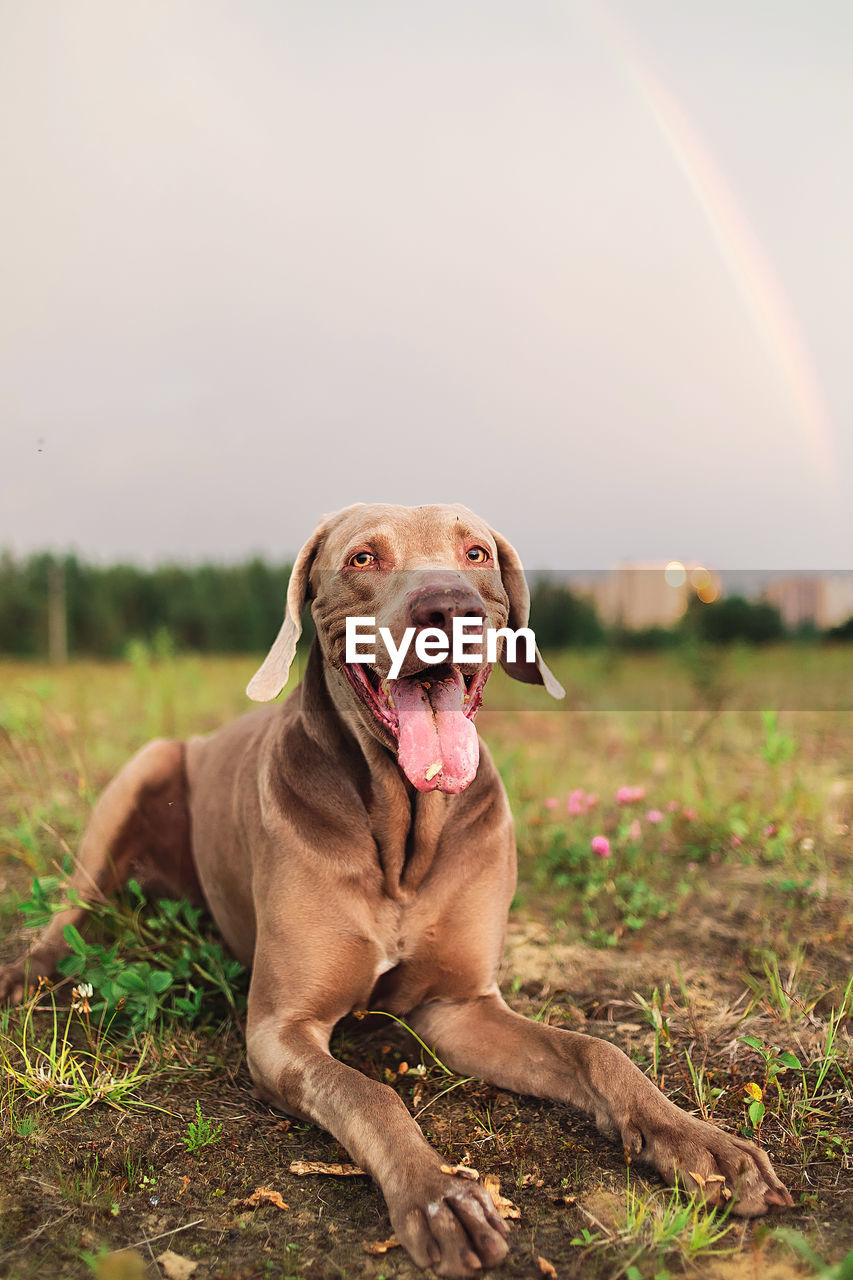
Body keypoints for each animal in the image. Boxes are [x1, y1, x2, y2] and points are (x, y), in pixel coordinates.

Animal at [0, 504, 788, 1274]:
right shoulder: (279, 1030)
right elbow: (369, 1093)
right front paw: (441, 1195)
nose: (448, 607)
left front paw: (700, 1143)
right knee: (72, 906)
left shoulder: (460, 1007)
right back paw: (26, 972)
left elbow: (596, 1051)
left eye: (476, 554)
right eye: (362, 558)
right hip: (146, 766)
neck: (404, 838)